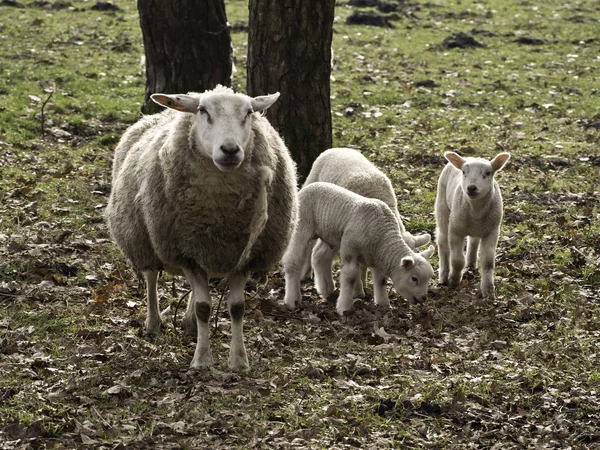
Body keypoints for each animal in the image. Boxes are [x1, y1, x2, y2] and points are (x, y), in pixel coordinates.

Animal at [106, 86, 298, 370]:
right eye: (203, 111)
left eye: (248, 113)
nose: (230, 150)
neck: (221, 213)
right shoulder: (186, 253)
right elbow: (203, 308)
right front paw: (202, 361)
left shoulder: (244, 255)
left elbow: (236, 308)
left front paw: (239, 361)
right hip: (145, 238)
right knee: (152, 278)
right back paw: (153, 324)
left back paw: (189, 325)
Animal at [284, 181, 434, 314]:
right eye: (414, 278)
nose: (423, 298)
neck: (383, 236)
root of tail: (307, 187)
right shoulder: (350, 249)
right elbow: (350, 276)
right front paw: (344, 307)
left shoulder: (377, 257)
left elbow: (380, 280)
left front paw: (383, 304)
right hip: (302, 226)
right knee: (293, 261)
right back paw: (292, 300)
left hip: (332, 235)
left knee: (320, 257)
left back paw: (326, 289)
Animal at [436, 151, 510, 298]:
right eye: (464, 172)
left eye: (488, 173)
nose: (471, 188)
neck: (476, 211)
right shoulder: (455, 230)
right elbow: (457, 260)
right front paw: (453, 280)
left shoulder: (492, 231)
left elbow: (488, 262)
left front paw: (488, 291)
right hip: (442, 207)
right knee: (442, 242)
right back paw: (444, 275)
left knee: (473, 240)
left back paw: (470, 264)